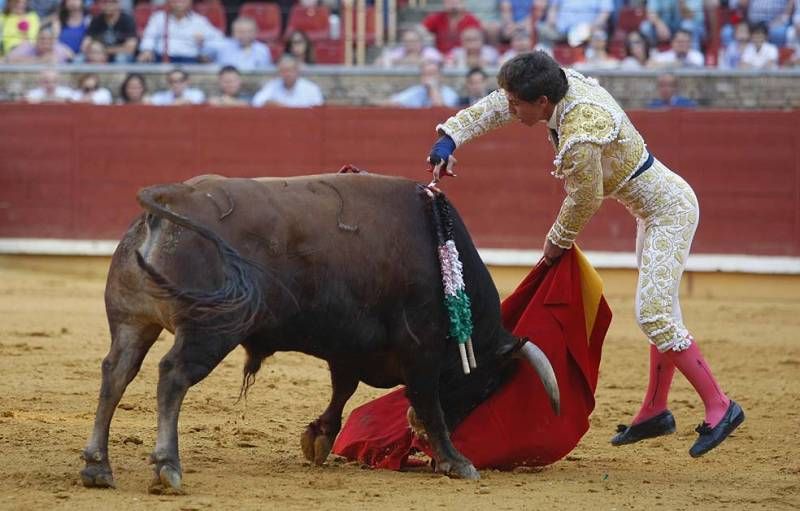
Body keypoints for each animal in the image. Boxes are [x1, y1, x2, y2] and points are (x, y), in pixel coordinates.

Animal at [79, 174, 556, 494]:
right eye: (488, 384)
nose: (415, 434)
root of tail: (173, 197)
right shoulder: (420, 351)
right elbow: (429, 403)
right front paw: (457, 461)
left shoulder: (350, 348)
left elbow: (342, 390)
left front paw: (319, 437)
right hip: (210, 331)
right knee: (172, 376)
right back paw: (167, 467)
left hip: (132, 321)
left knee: (115, 374)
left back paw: (97, 467)